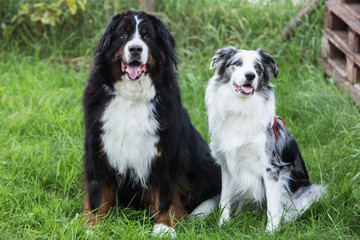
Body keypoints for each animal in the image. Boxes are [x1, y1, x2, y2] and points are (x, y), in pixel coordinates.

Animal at [81, 10, 221, 236]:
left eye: (147, 36)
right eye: (123, 34)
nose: (135, 49)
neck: (132, 97)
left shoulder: (165, 152)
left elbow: (165, 193)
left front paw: (164, 228)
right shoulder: (98, 148)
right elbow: (97, 192)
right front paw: (92, 227)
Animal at [205, 46, 326, 232]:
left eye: (258, 68)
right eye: (237, 63)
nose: (250, 75)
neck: (242, 109)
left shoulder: (272, 168)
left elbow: (273, 205)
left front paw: (271, 231)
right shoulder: (227, 165)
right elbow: (225, 199)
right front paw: (222, 225)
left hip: (310, 192)